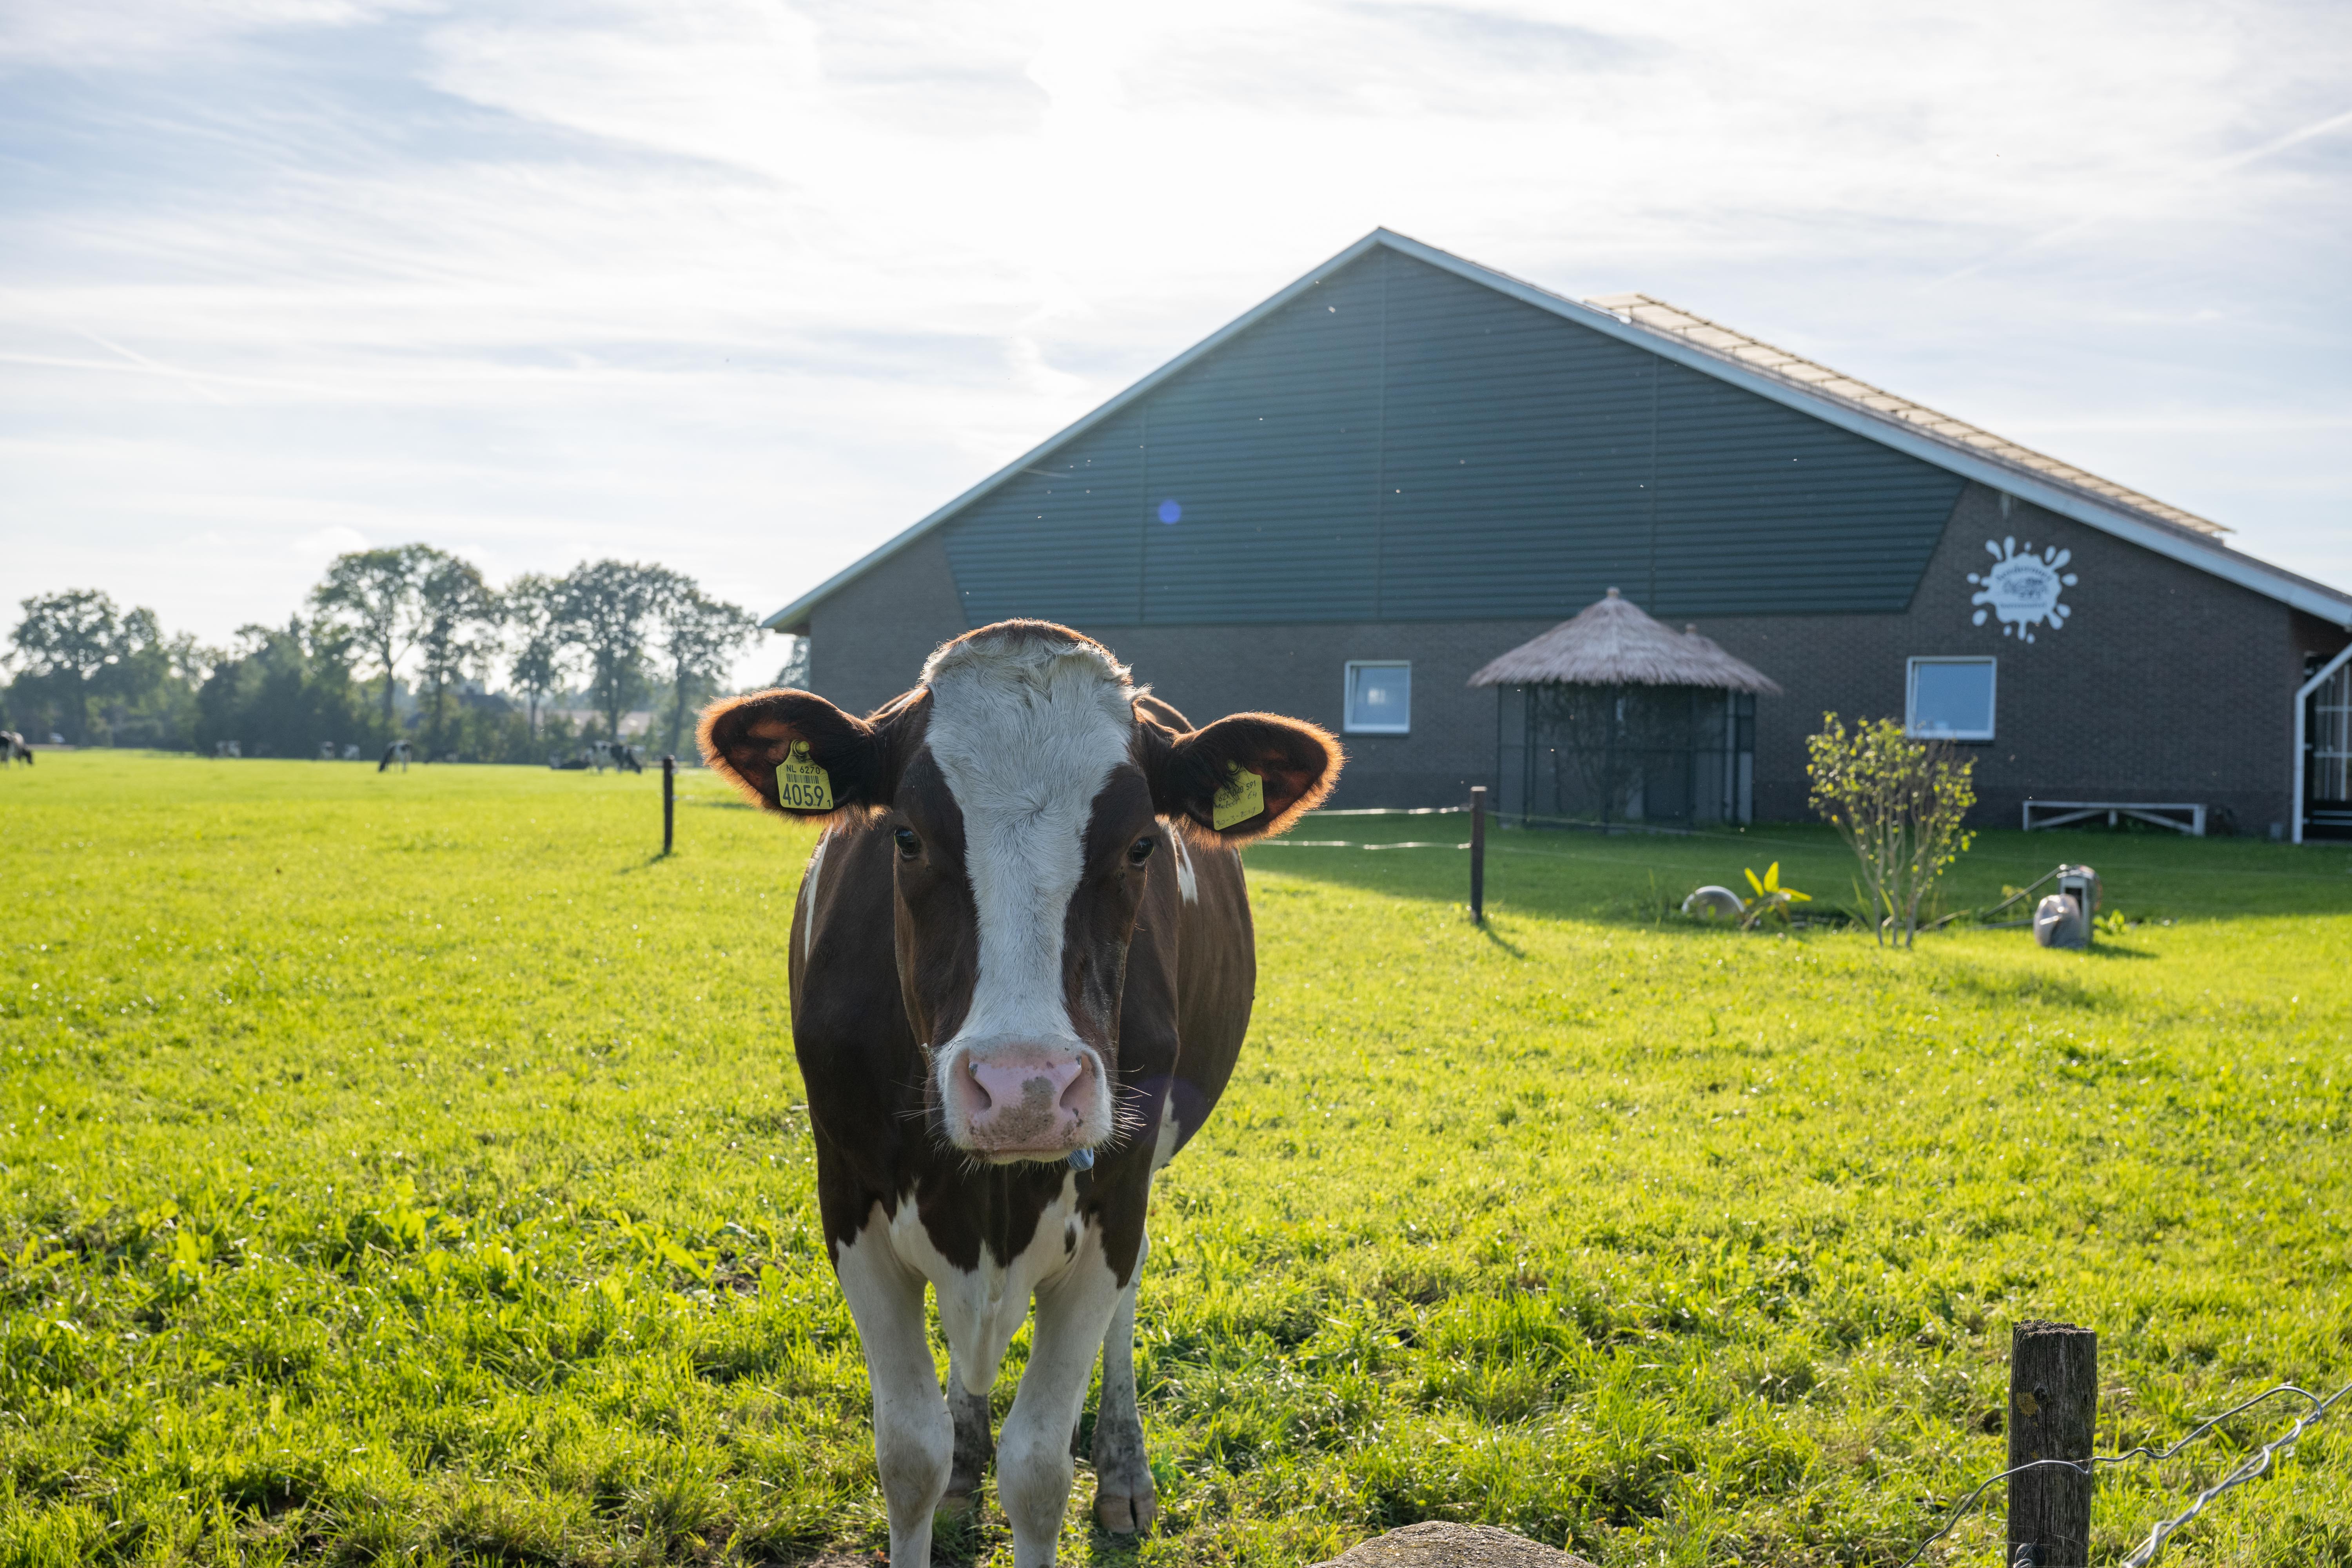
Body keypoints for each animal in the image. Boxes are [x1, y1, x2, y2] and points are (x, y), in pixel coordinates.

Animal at [699, 621, 1340, 1568]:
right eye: (906, 837)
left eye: (1142, 845)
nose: (1025, 1089)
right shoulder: (848, 1201)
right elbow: (910, 1454)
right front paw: (949, 1467)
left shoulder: (1115, 1197)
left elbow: (1039, 1468)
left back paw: (1123, 1471)